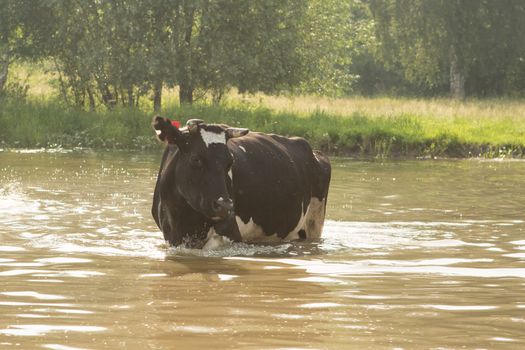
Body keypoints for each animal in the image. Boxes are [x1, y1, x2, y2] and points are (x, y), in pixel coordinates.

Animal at [151, 116, 330, 247]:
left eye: (230, 162)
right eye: (196, 159)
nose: (224, 206)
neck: (187, 217)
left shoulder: (229, 233)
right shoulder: (172, 236)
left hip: (314, 224)